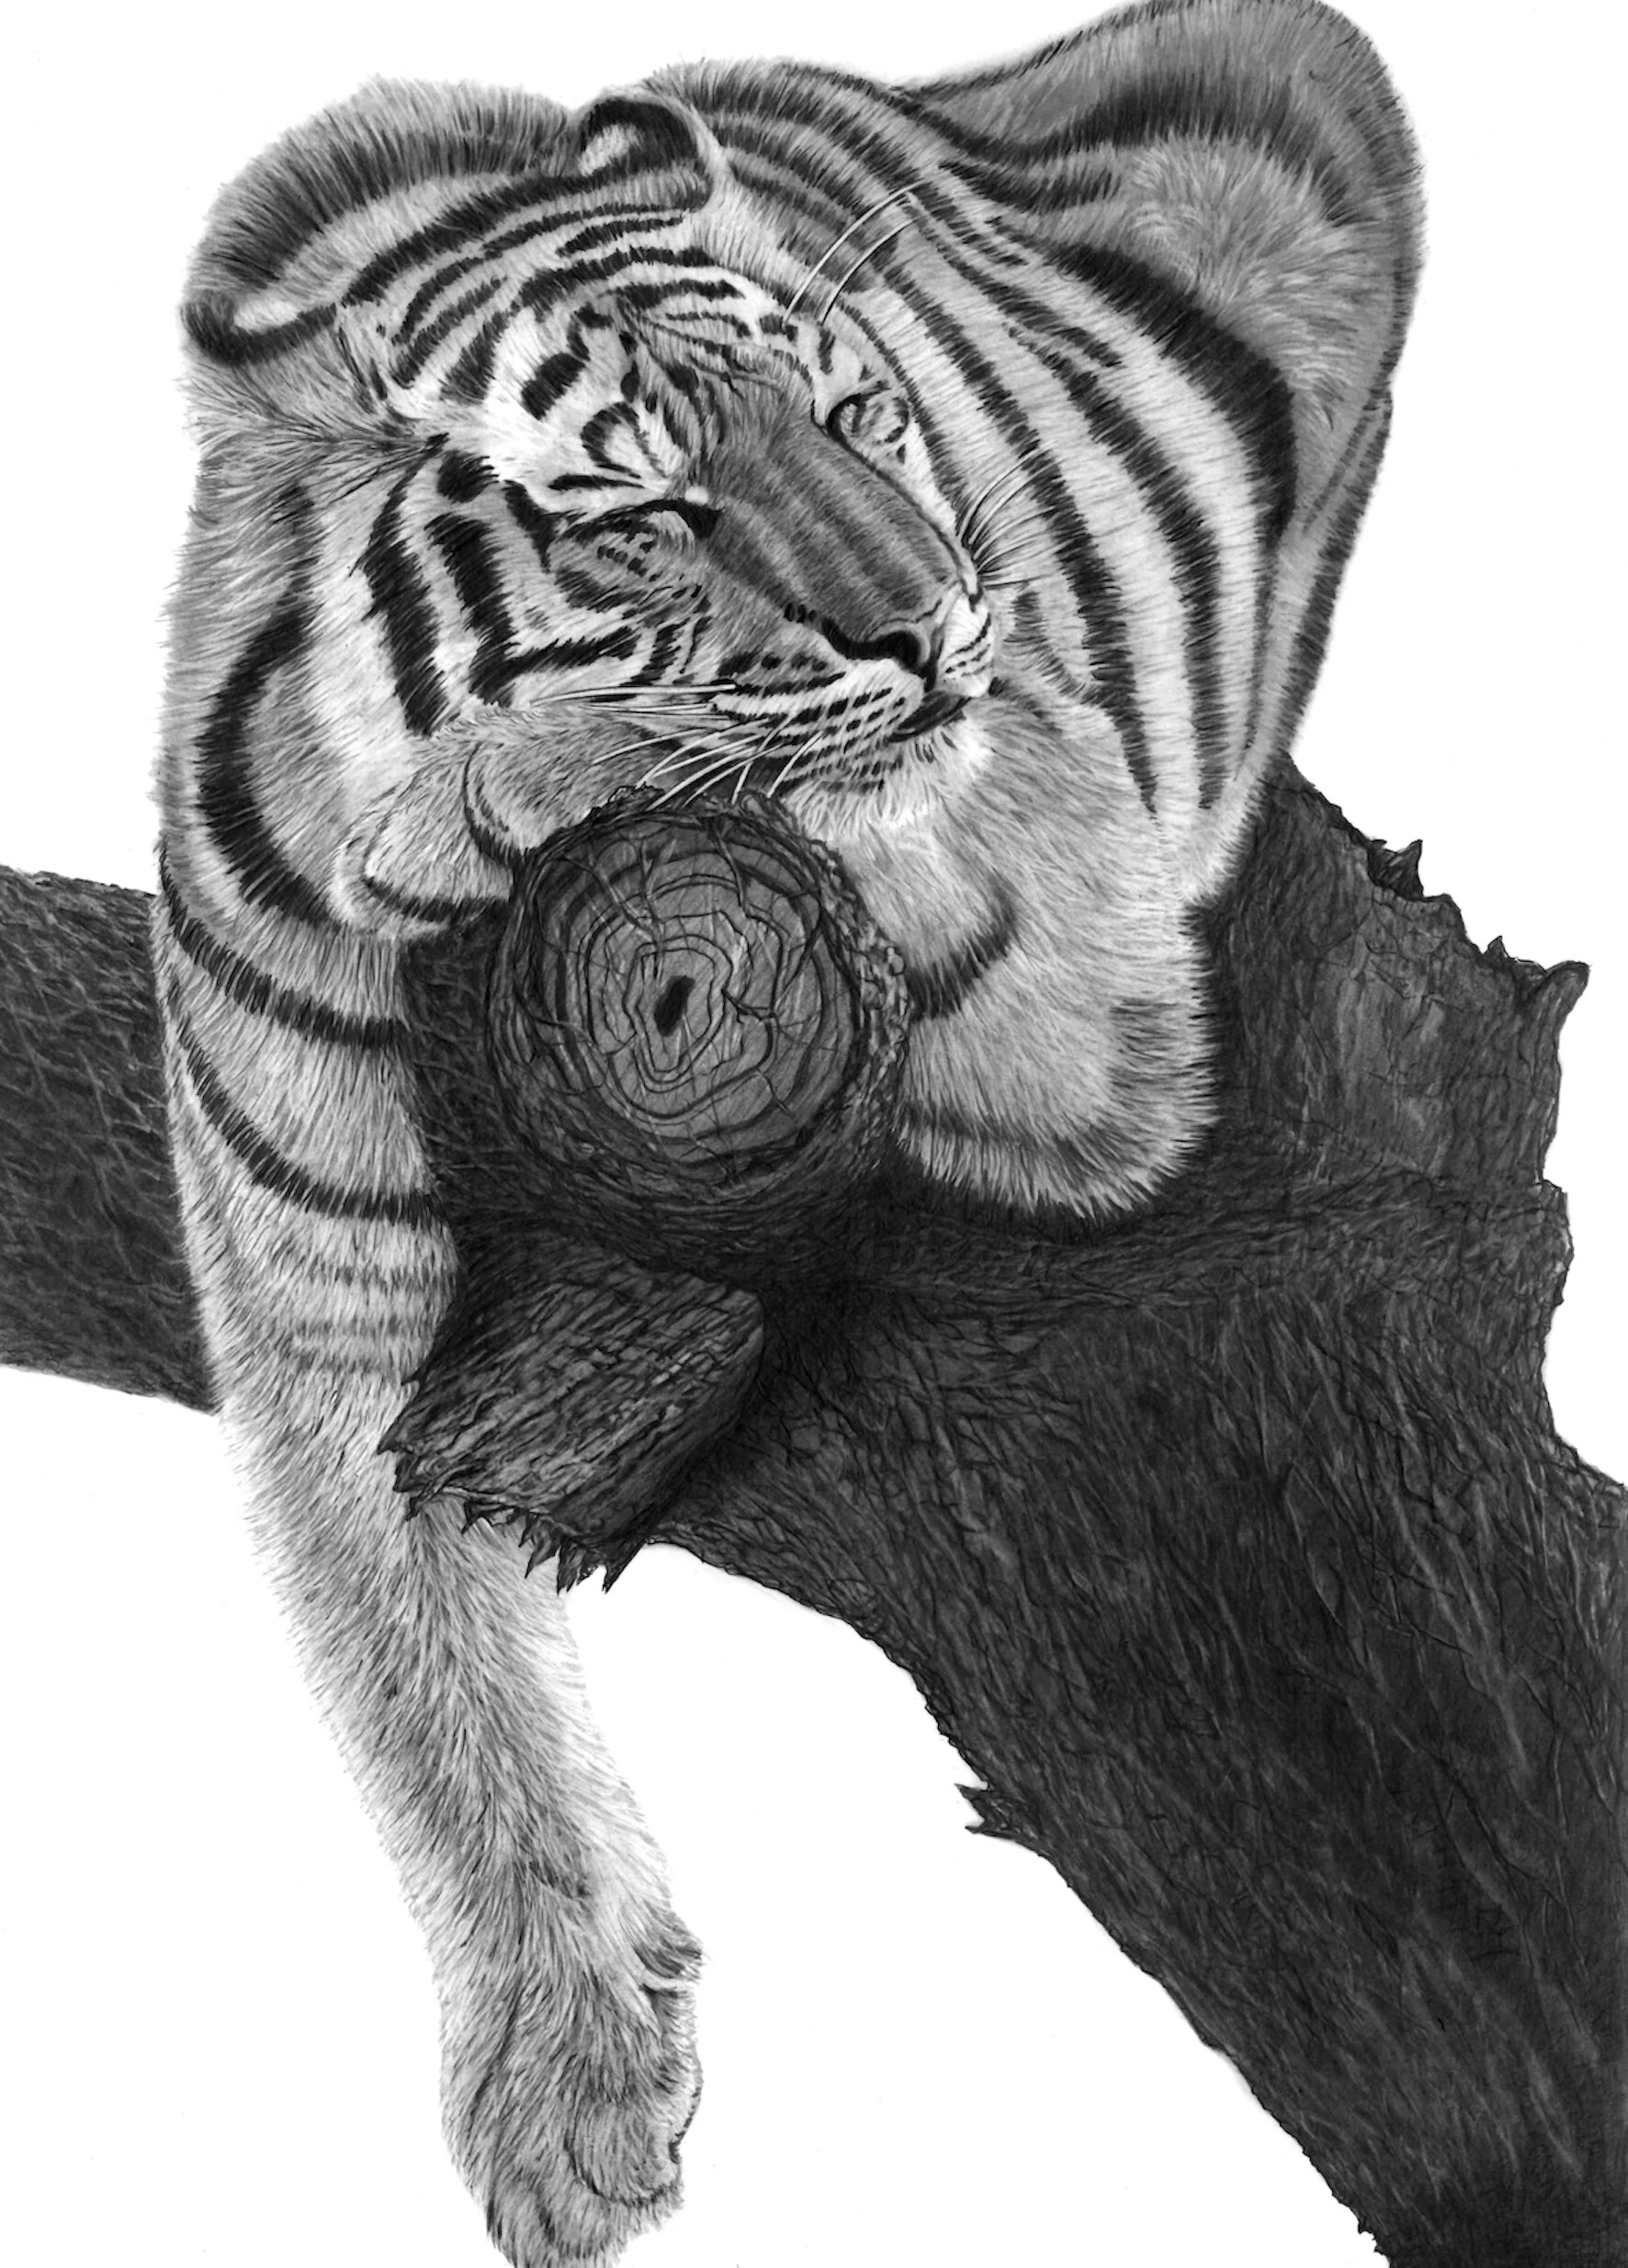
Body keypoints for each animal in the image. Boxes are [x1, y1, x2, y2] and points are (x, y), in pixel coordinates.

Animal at [150, 3, 1420, 2262]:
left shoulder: (1070, 962)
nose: (939, 623)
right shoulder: (315, 1303)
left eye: (856, 417)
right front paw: (567, 2091)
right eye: (649, 516)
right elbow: (421, 1683)